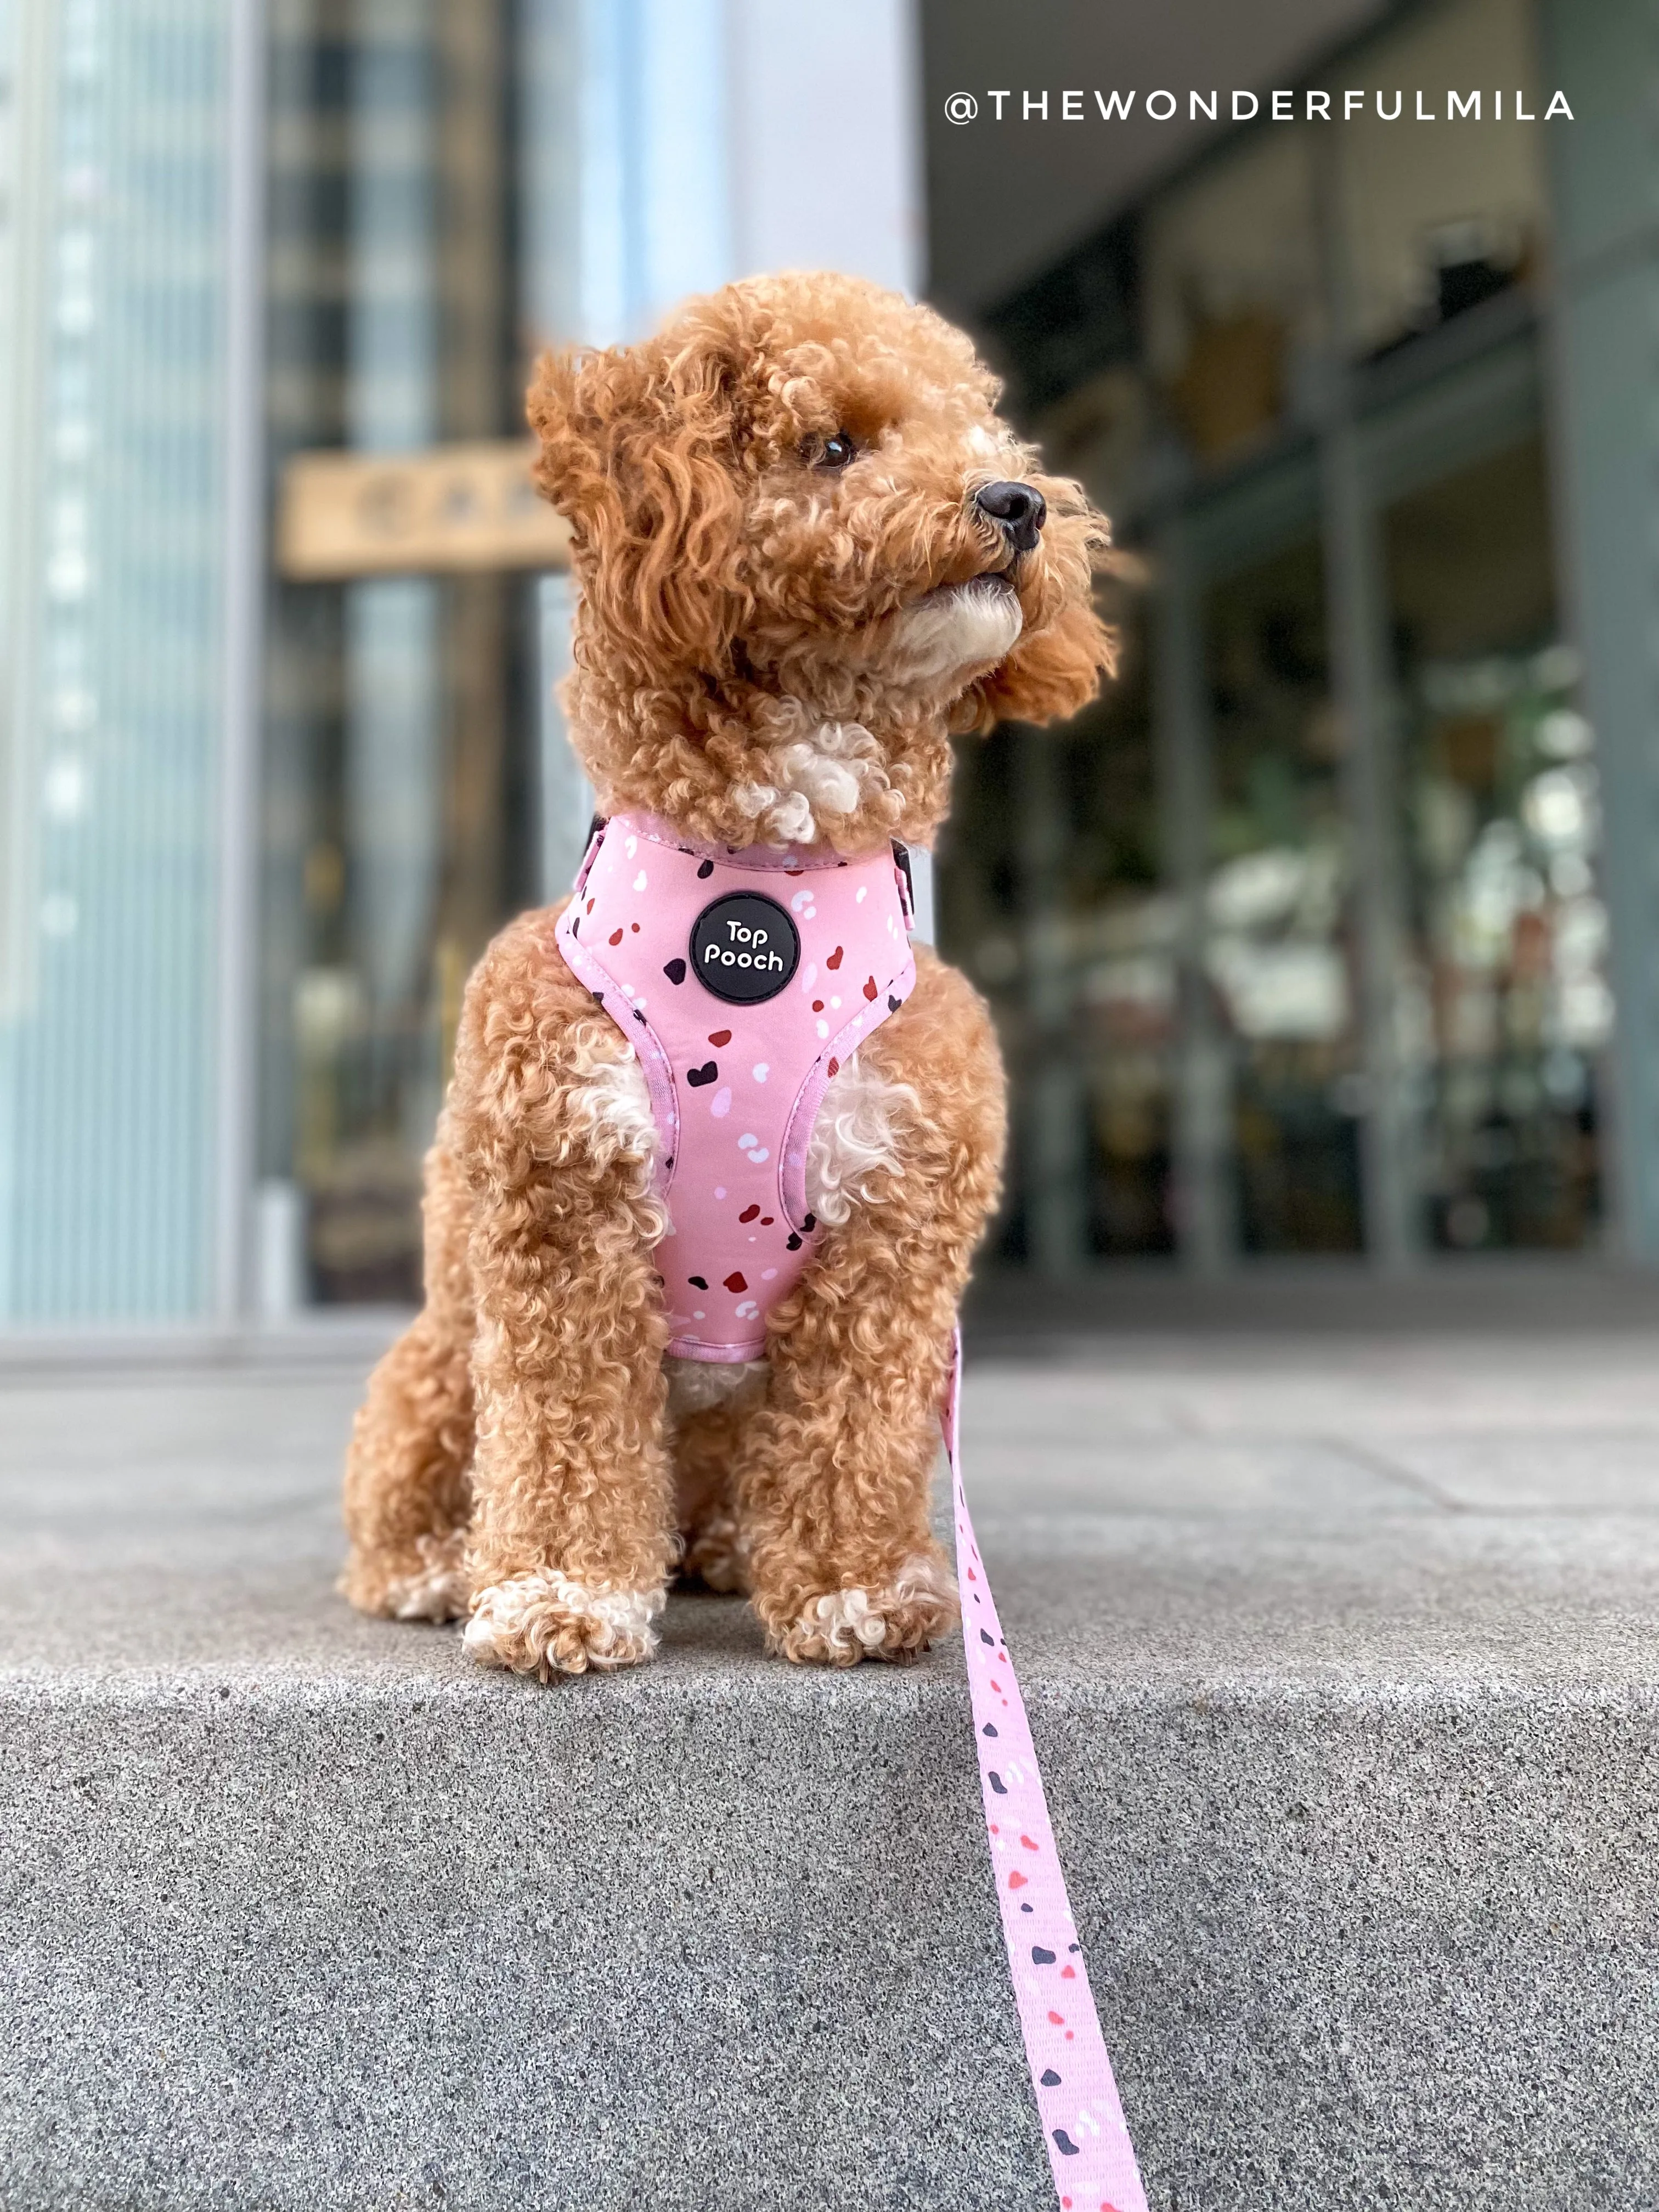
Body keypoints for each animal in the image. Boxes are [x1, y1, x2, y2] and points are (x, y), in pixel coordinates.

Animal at [342, 267, 1110, 1663]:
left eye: (983, 428)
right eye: (838, 445)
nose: (1018, 503)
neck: (768, 887)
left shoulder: (896, 1233)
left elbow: (851, 1428)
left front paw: (856, 1591)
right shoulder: (561, 1207)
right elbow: (568, 1432)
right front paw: (558, 1594)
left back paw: (736, 1550)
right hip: (439, 1357)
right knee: (417, 1473)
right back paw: (439, 1564)